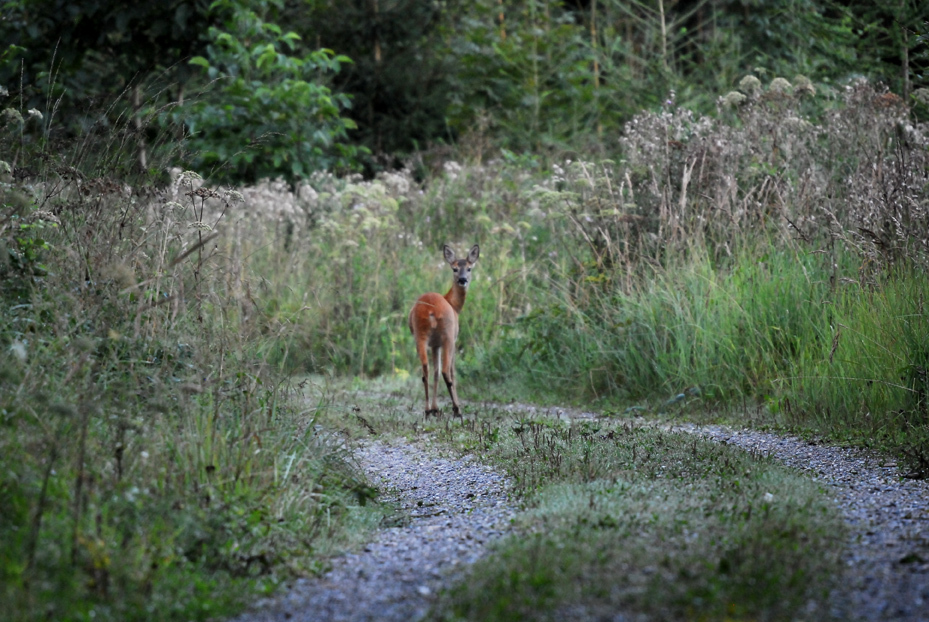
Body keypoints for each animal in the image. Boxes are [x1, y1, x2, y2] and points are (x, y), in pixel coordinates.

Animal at [408, 245, 478, 420]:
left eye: (469, 268)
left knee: (425, 370)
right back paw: (457, 410)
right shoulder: (451, 339)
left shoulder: (434, 344)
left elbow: (435, 373)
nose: (463, 280)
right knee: (447, 371)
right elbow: (451, 372)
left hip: (420, 336)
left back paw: (427, 410)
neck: (453, 305)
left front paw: (434, 408)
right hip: (448, 336)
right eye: (454, 269)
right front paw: (450, 407)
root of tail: (431, 311)